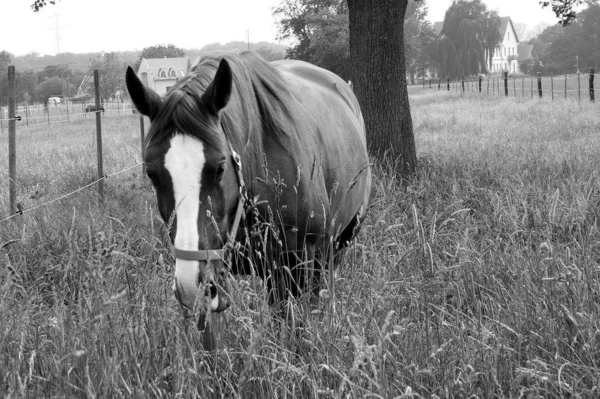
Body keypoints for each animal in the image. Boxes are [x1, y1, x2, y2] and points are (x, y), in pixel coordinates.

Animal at [126, 51, 370, 348]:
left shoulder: (295, 265)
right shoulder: (218, 280)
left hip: (337, 244)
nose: (190, 285)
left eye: (220, 168)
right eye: (152, 173)